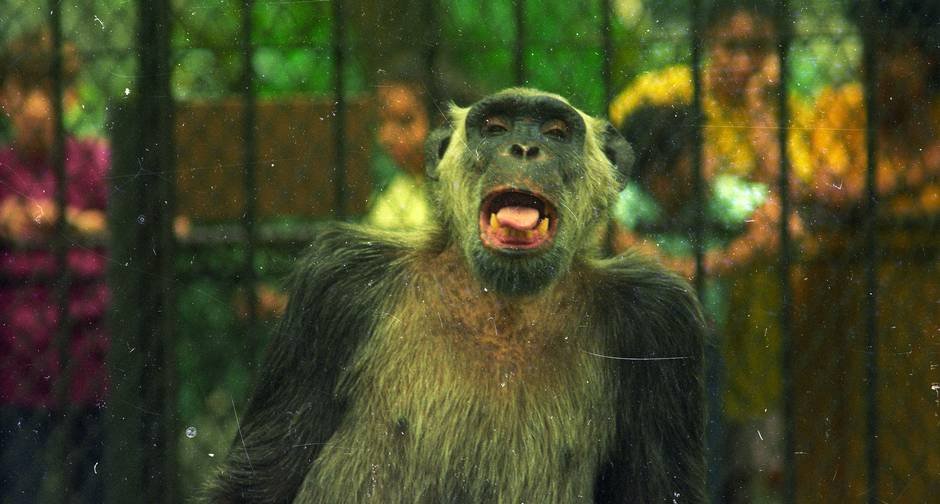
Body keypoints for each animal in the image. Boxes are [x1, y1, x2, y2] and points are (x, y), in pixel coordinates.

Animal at [206, 88, 705, 503]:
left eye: (557, 132)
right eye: (495, 128)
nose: (525, 149)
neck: (501, 306)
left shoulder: (660, 320)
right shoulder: (336, 283)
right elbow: (264, 477)